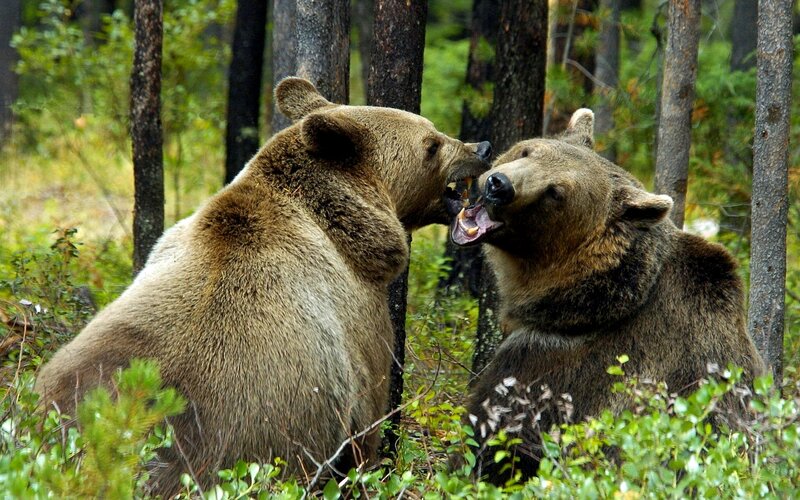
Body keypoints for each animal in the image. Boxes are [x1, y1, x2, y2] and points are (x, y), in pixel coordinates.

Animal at [35, 77, 492, 495]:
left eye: (434, 130)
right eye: (431, 143)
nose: (482, 148)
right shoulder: (360, 324)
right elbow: (368, 421)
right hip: (244, 435)